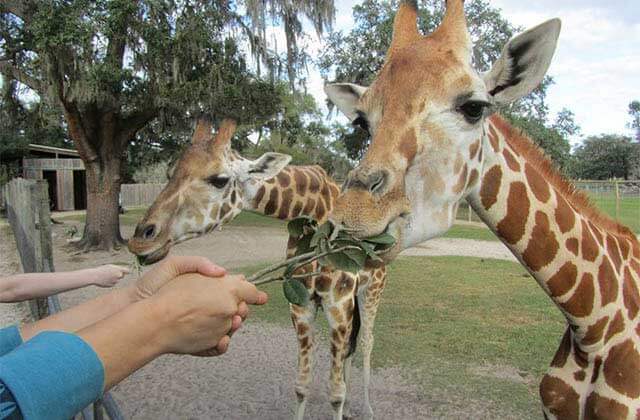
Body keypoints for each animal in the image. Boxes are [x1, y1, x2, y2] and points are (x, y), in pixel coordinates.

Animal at [129, 116, 390, 418]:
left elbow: (335, 393)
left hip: (372, 289)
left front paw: (344, 403)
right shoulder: (301, 305)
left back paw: (368, 408)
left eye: (219, 179)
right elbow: (302, 385)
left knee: (367, 340)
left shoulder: (337, 303)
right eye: (170, 172)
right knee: (351, 346)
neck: (314, 211)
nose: (141, 239)